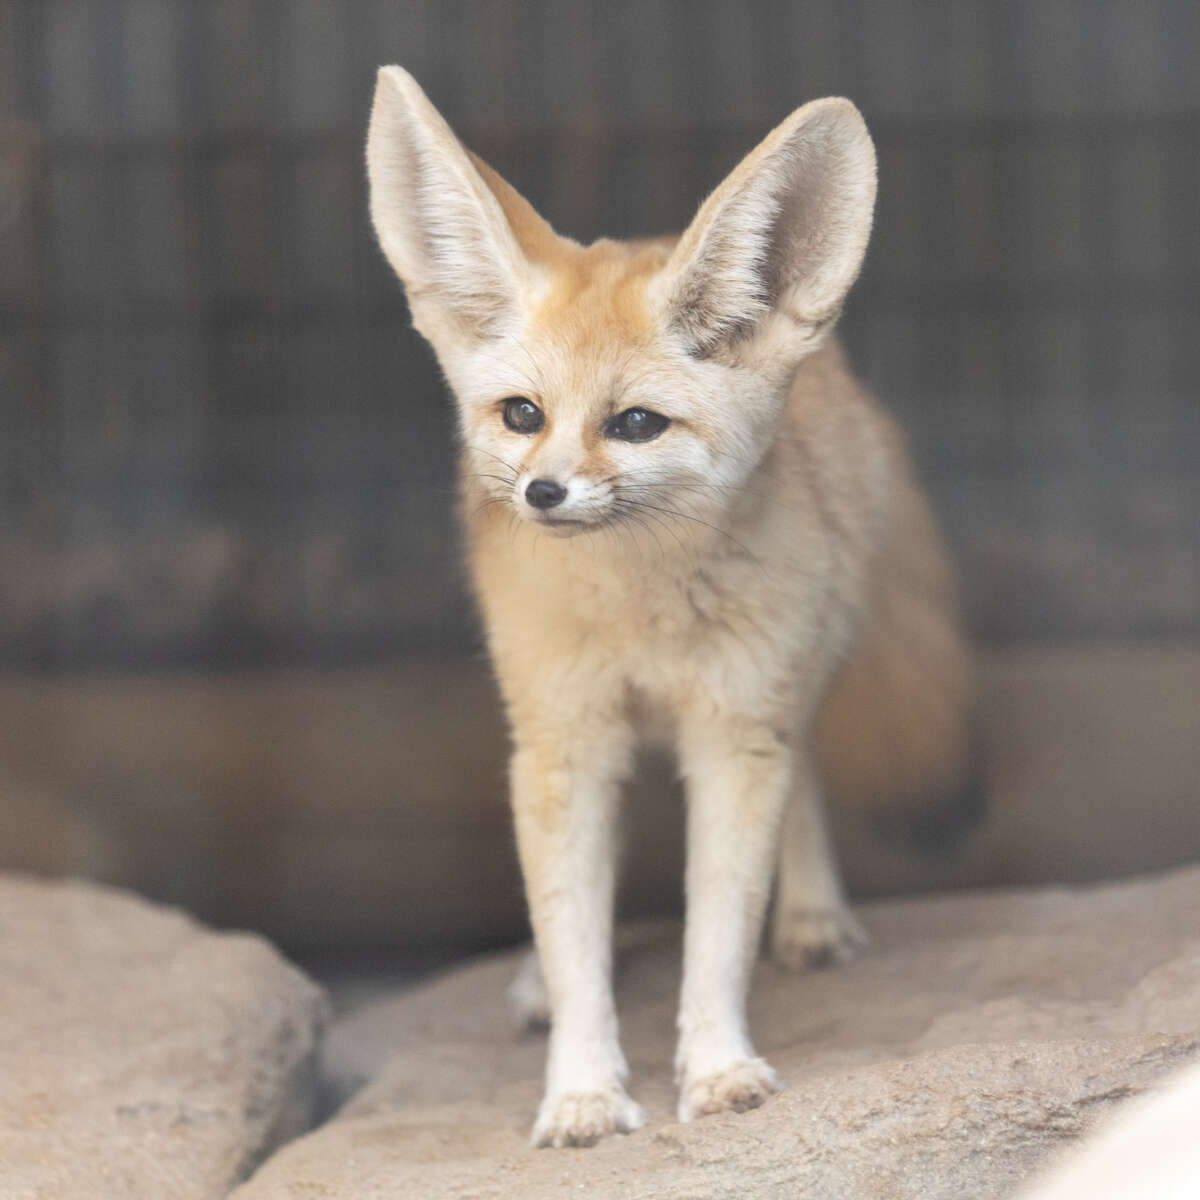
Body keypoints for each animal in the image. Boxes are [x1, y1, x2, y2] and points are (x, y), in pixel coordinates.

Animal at [365, 67, 974, 1148]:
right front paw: (581, 1089)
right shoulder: (561, 740)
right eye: (523, 415)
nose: (544, 494)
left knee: (806, 778)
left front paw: (719, 1068)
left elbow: (717, 931)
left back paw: (813, 914)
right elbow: (573, 930)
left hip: (797, 676)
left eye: (636, 425)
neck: (636, 618)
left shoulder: (736, 734)